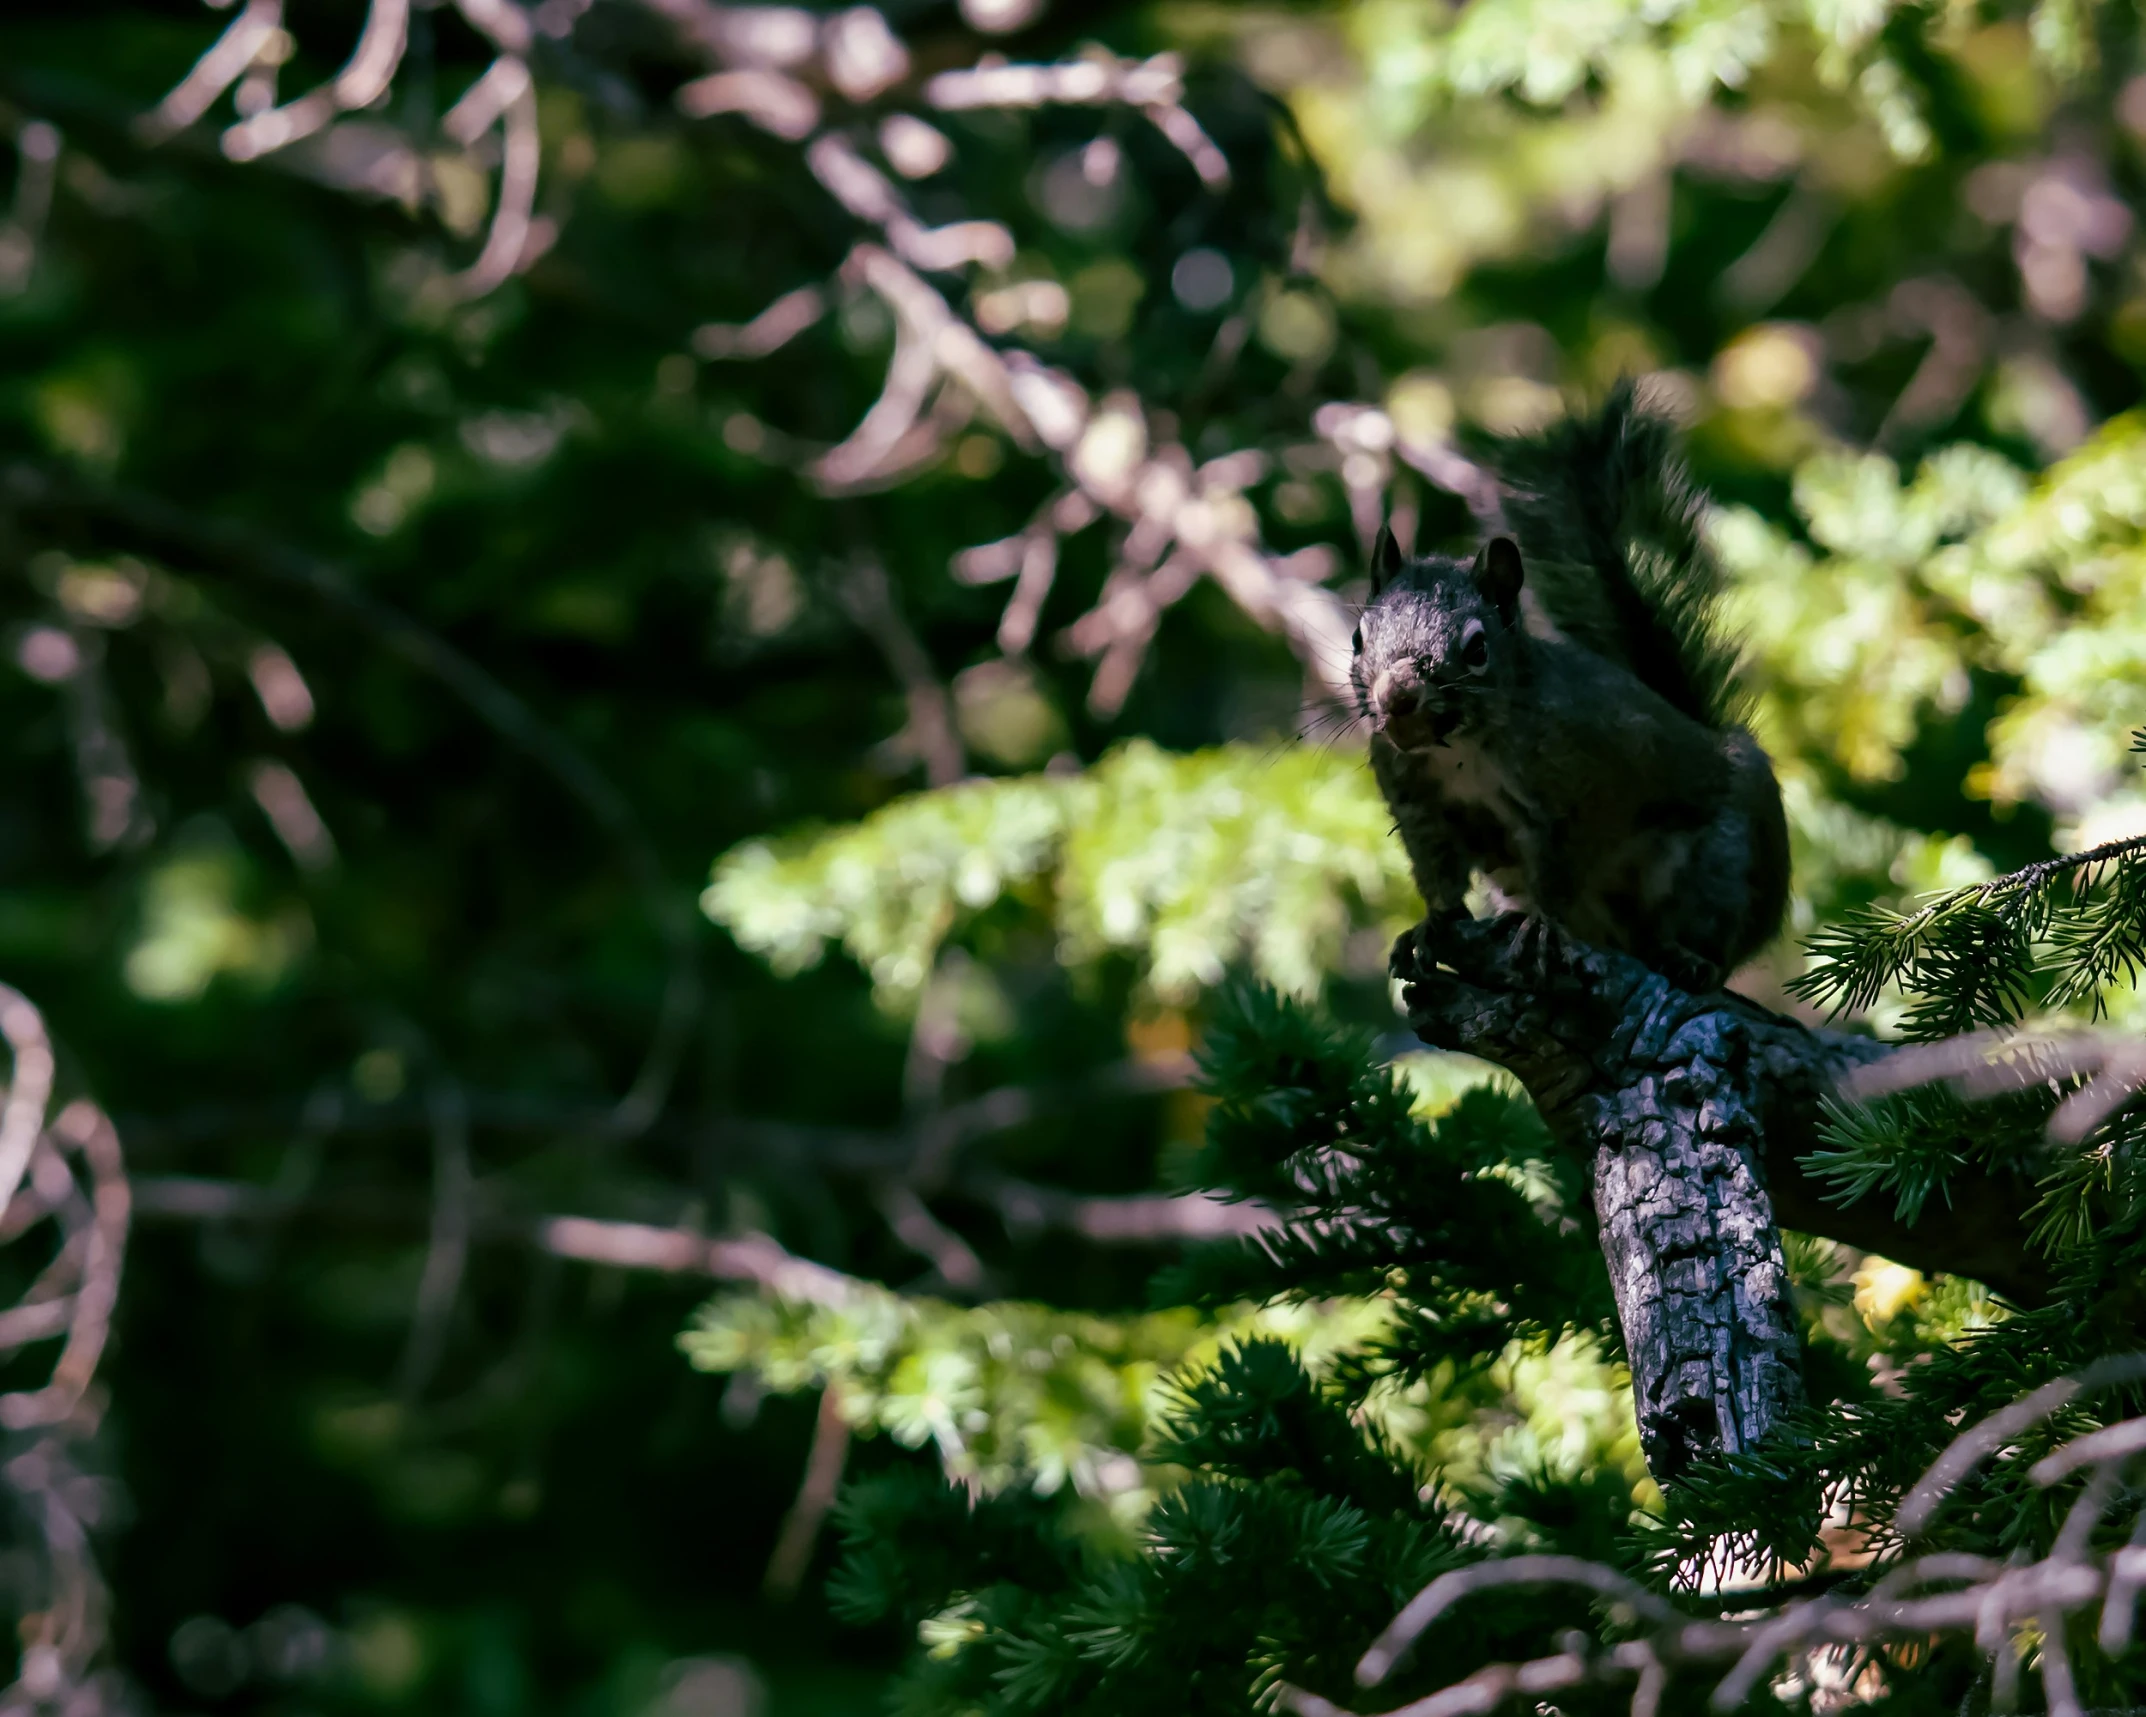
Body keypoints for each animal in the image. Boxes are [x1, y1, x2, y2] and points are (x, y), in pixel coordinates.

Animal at [1356, 379, 1794, 991]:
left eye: (1476, 650)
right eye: (1357, 637)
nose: (1395, 698)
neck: (1461, 750)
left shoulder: (1578, 795)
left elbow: (1560, 874)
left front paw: (1543, 927)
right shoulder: (1421, 810)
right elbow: (1441, 880)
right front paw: (1430, 927)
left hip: (1726, 864)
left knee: (1716, 931)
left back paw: (1689, 956)